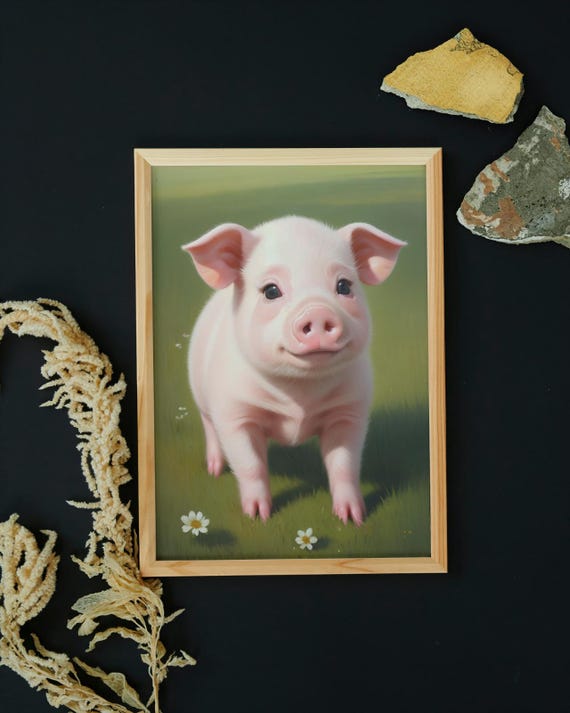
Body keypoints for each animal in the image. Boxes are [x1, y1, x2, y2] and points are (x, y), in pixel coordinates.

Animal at [182, 216, 405, 525]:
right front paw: (258, 516)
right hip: (201, 397)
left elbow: (344, 466)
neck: (299, 395)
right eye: (271, 291)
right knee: (209, 429)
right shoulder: (233, 414)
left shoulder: (349, 411)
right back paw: (215, 469)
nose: (318, 311)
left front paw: (353, 518)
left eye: (344, 286)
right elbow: (250, 465)